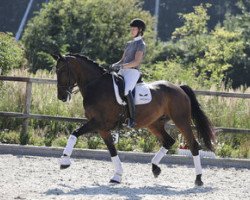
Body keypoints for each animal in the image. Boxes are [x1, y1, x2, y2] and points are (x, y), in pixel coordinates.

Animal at [51, 52, 215, 186]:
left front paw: (64, 161)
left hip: (181, 120)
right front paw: (117, 176)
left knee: (193, 145)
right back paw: (155, 168)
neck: (96, 86)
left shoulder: (98, 122)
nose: (61, 96)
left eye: (62, 71)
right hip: (154, 123)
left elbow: (74, 133)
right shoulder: (102, 127)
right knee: (169, 141)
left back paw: (198, 179)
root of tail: (179, 88)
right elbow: (112, 150)